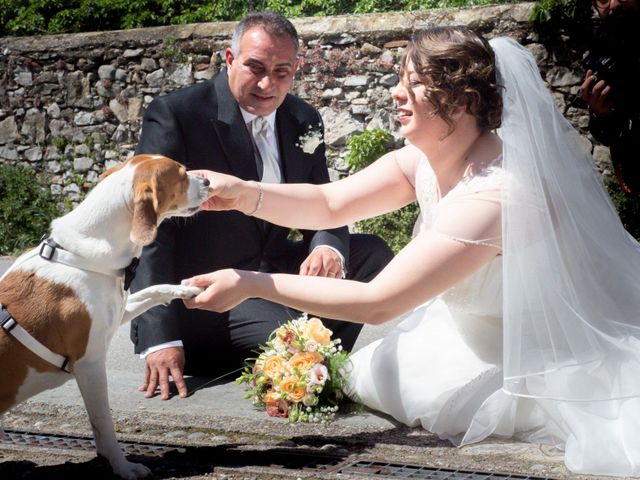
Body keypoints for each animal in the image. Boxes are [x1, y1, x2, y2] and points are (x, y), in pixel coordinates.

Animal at [0, 156, 210, 478]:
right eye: (181, 173)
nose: (209, 181)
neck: (84, 257)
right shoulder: (91, 365)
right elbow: (104, 424)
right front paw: (122, 466)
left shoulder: (119, 310)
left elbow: (154, 290)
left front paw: (186, 289)